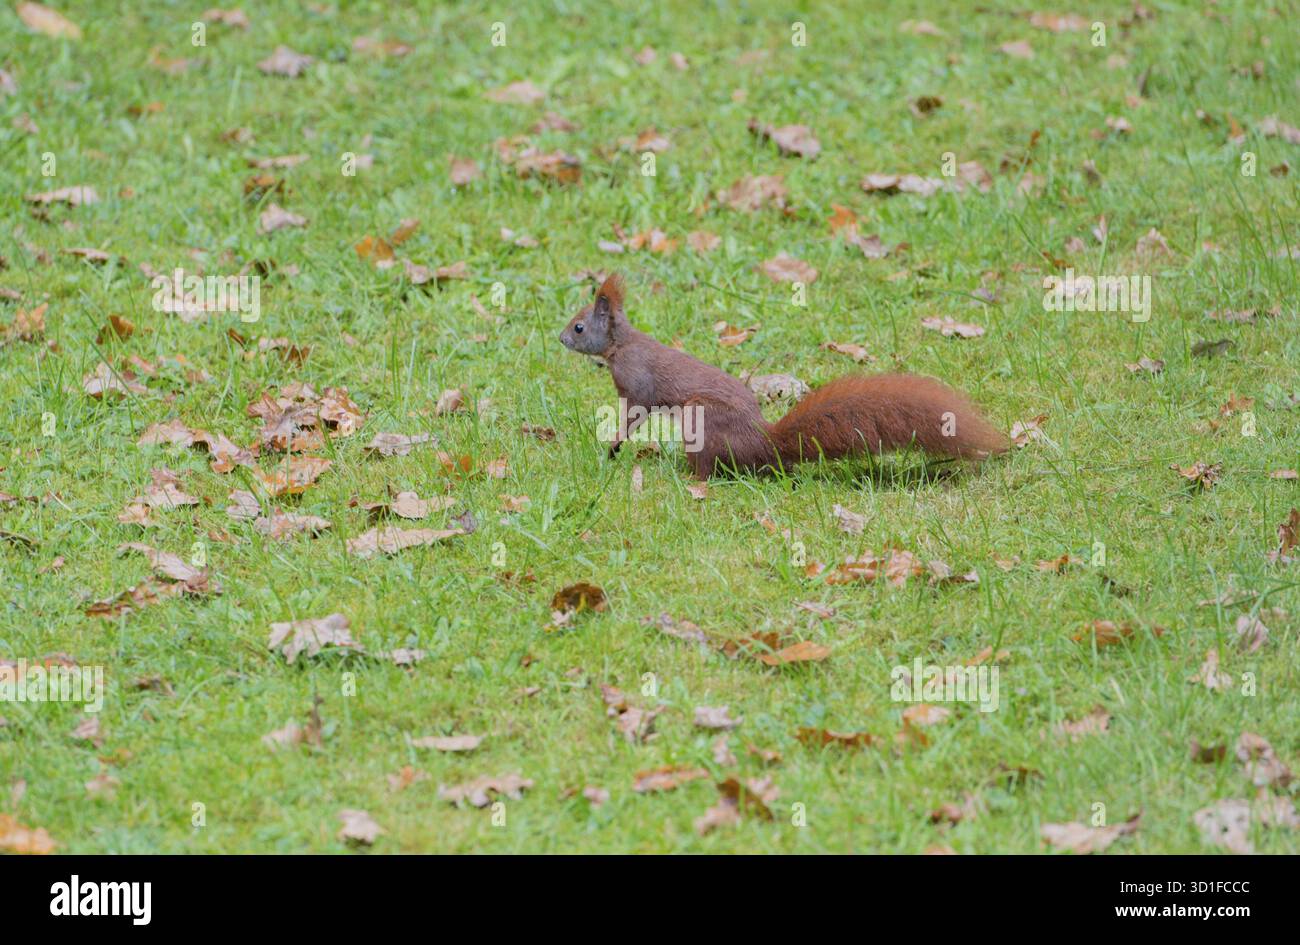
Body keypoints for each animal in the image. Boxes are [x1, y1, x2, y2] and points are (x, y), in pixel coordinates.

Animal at [559, 273, 1008, 479]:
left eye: (579, 327)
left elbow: (633, 414)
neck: (621, 345)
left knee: (709, 467)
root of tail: (763, 444)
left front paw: (613, 446)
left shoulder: (637, 384)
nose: (561, 338)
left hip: (700, 417)